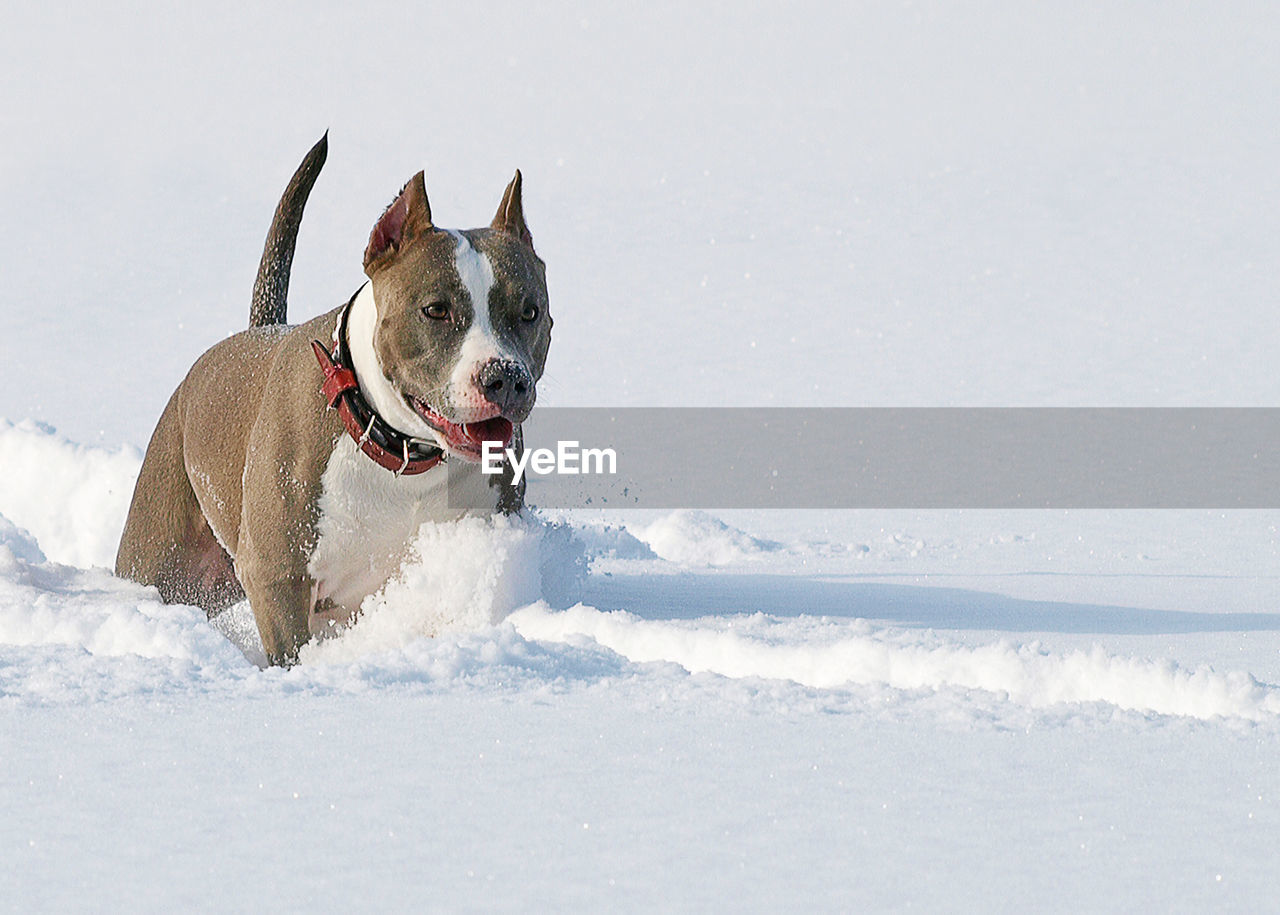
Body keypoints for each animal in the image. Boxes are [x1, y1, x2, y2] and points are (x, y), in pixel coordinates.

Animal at [120, 134, 555, 665]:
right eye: (436, 309)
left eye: (530, 312)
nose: (505, 378)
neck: (400, 450)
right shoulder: (278, 574)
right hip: (162, 553)